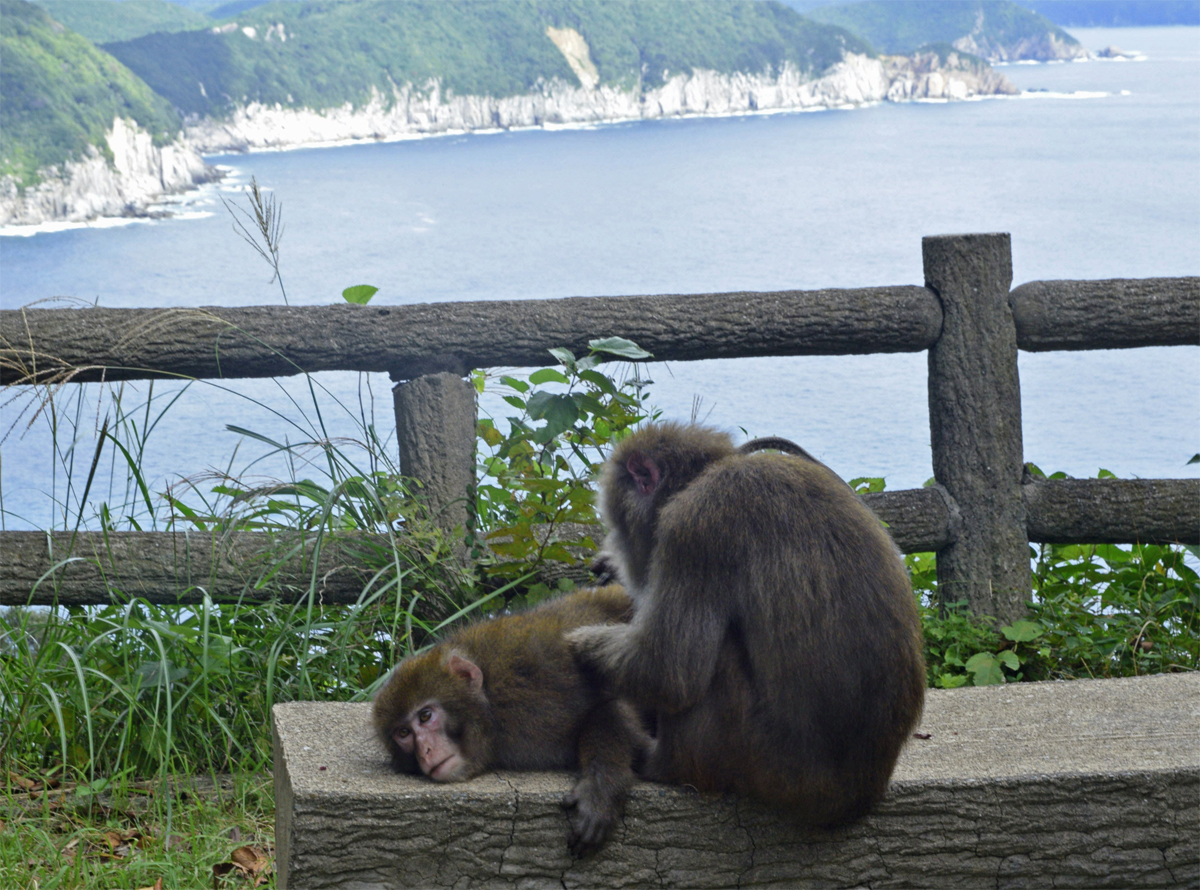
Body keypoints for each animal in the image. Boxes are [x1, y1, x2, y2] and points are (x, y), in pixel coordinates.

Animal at [372, 584, 649, 855]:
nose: (425, 751)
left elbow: (615, 703)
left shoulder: (548, 678)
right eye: (403, 733)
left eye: (425, 716)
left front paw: (599, 787)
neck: (493, 708)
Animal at [568, 422, 926, 826]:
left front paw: (579, 645)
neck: (709, 473)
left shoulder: (692, 525)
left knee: (714, 659)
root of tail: (856, 796)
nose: (616, 545)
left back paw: (667, 765)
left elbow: (668, 671)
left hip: (761, 760)